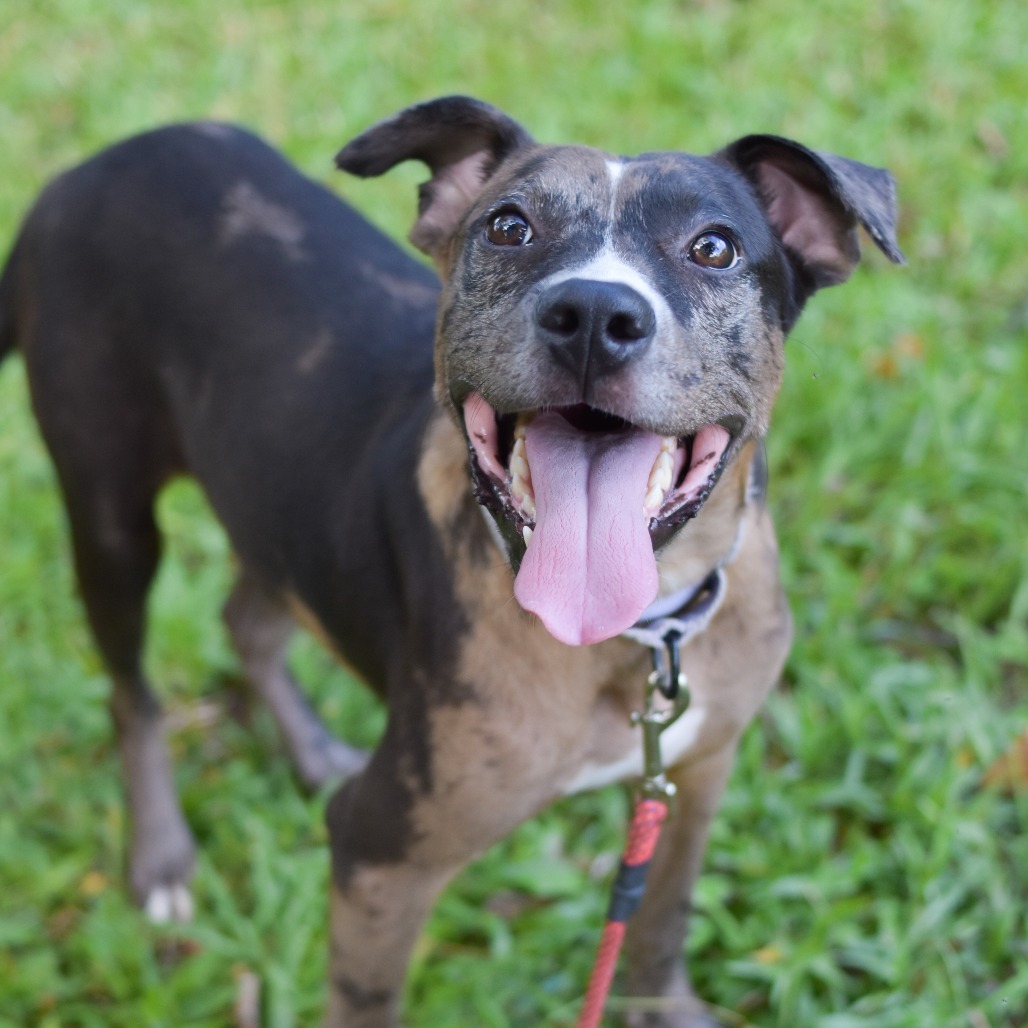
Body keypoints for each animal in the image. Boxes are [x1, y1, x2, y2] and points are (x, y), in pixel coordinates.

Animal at [0, 98, 900, 1028]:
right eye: (508, 226)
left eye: (713, 247)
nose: (593, 313)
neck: (639, 632)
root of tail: (80, 175)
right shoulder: (380, 859)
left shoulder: (697, 771)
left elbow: (662, 919)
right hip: (110, 514)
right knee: (131, 693)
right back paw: (162, 856)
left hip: (276, 499)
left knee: (246, 617)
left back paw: (311, 750)